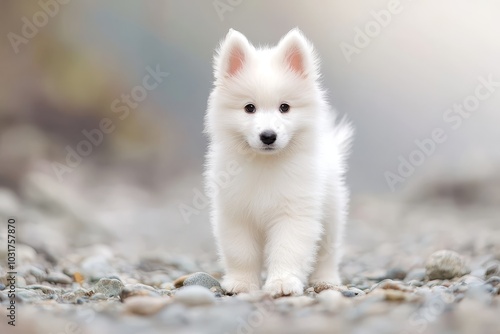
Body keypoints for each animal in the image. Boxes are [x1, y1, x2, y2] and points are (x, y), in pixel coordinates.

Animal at [203, 28, 352, 294]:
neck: (265, 164)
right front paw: (241, 283)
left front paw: (283, 283)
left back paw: (326, 280)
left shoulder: (294, 213)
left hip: (332, 212)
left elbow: (287, 250)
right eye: (249, 108)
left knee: (327, 252)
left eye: (285, 107)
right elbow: (241, 252)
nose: (268, 136)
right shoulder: (236, 213)